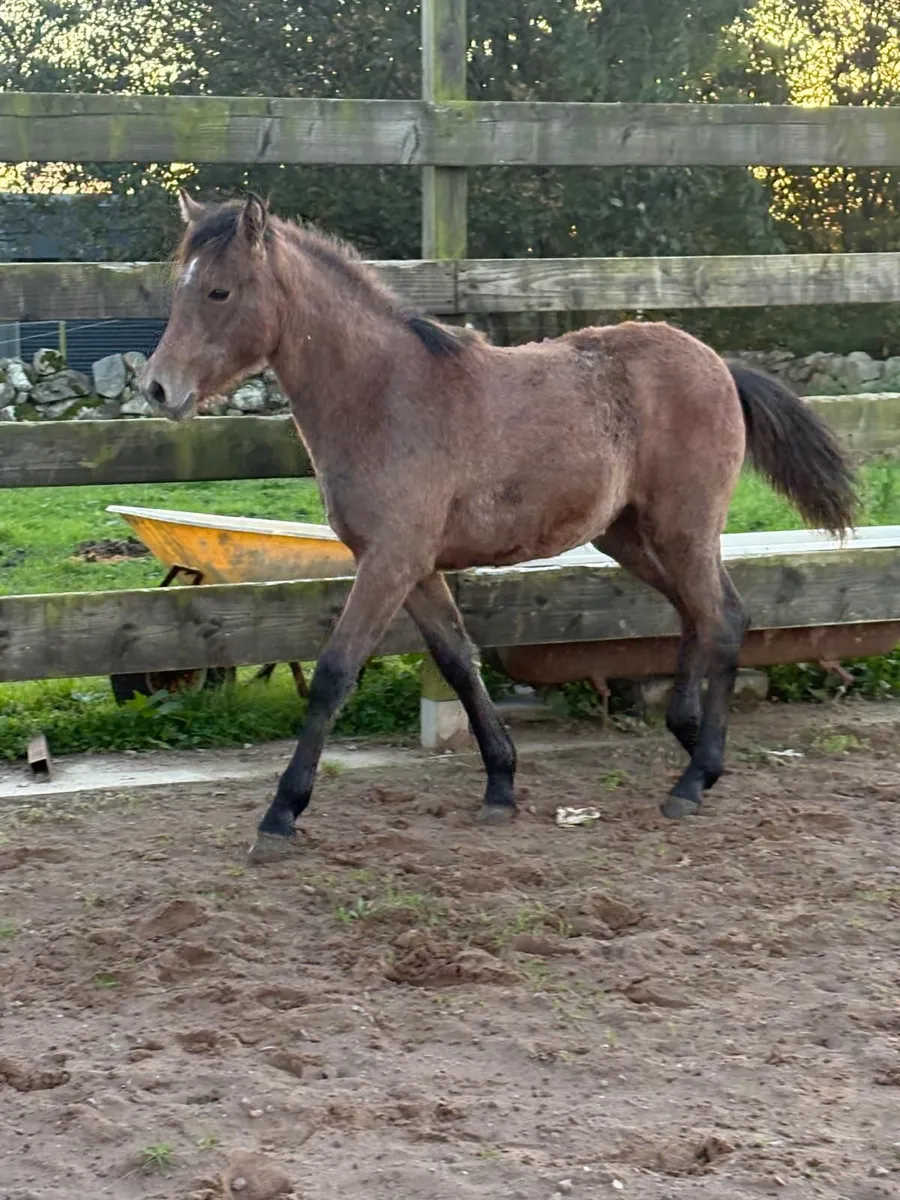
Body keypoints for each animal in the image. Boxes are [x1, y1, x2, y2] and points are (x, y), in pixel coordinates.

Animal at [142, 191, 857, 860]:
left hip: (684, 527)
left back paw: (695, 777)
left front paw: (280, 817)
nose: (157, 389)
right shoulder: (413, 567)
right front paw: (500, 785)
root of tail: (719, 365)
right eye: (181, 286)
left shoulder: (389, 562)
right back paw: (688, 738)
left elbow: (333, 675)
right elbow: (459, 662)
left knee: (724, 618)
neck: (385, 396)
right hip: (628, 535)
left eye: (219, 290)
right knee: (695, 614)